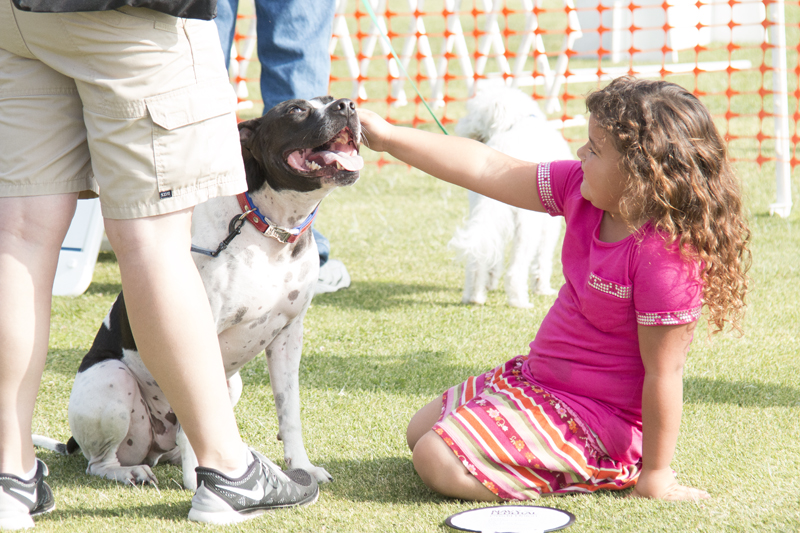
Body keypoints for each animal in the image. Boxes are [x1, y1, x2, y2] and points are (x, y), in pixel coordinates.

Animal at [36, 96, 362, 490]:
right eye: (296, 110)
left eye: (329, 100)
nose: (347, 105)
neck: (269, 230)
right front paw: (202, 482)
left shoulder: (289, 336)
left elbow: (289, 411)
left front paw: (301, 466)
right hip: (111, 377)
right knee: (101, 461)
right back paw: (130, 470)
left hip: (231, 384)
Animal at [450, 86, 576, 308]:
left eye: (472, 113)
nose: (460, 126)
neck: (516, 123)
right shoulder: (549, 225)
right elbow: (543, 258)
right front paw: (542, 288)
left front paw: (490, 282)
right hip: (527, 228)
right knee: (515, 270)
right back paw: (519, 301)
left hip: (484, 213)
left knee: (477, 259)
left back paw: (474, 296)